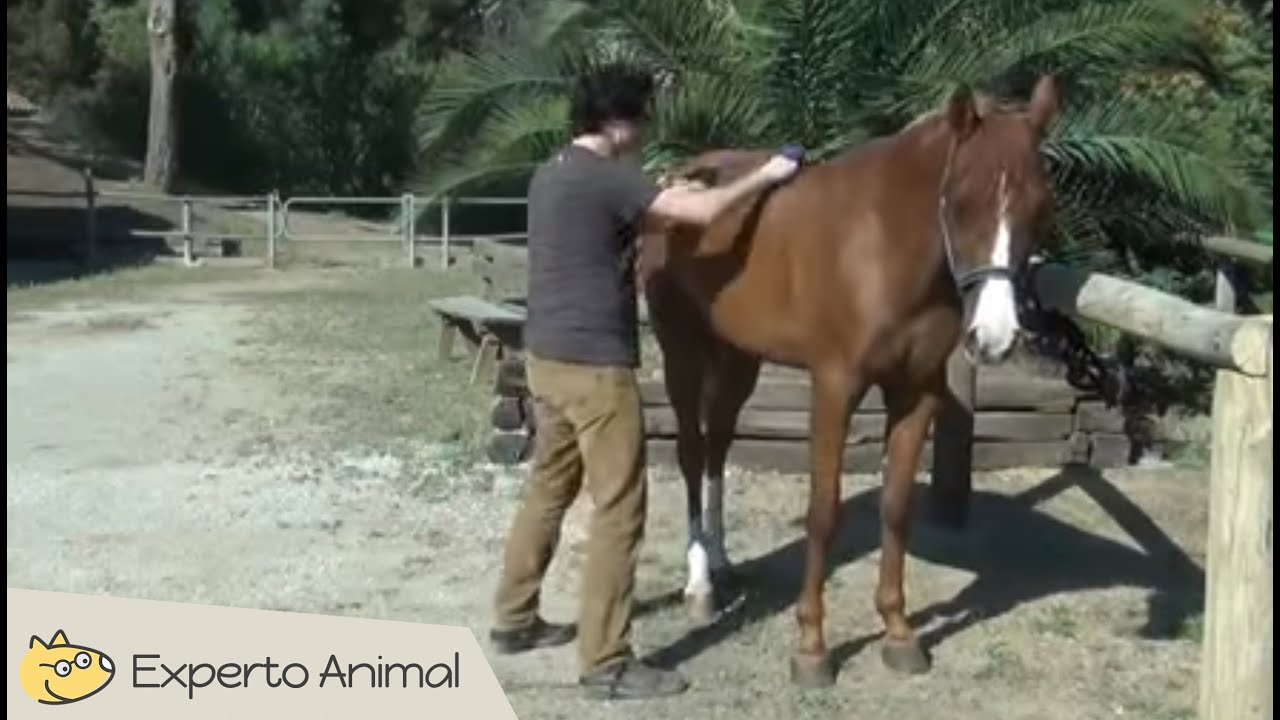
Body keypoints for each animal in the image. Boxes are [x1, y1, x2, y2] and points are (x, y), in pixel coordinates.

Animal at [637, 75, 1061, 687]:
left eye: (1041, 205)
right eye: (961, 201)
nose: (996, 337)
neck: (882, 244)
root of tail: (680, 180)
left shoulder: (916, 392)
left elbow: (897, 507)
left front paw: (900, 633)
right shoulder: (835, 388)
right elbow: (823, 512)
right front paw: (812, 647)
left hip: (739, 359)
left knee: (717, 447)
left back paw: (721, 562)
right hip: (682, 352)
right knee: (693, 455)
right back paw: (699, 585)